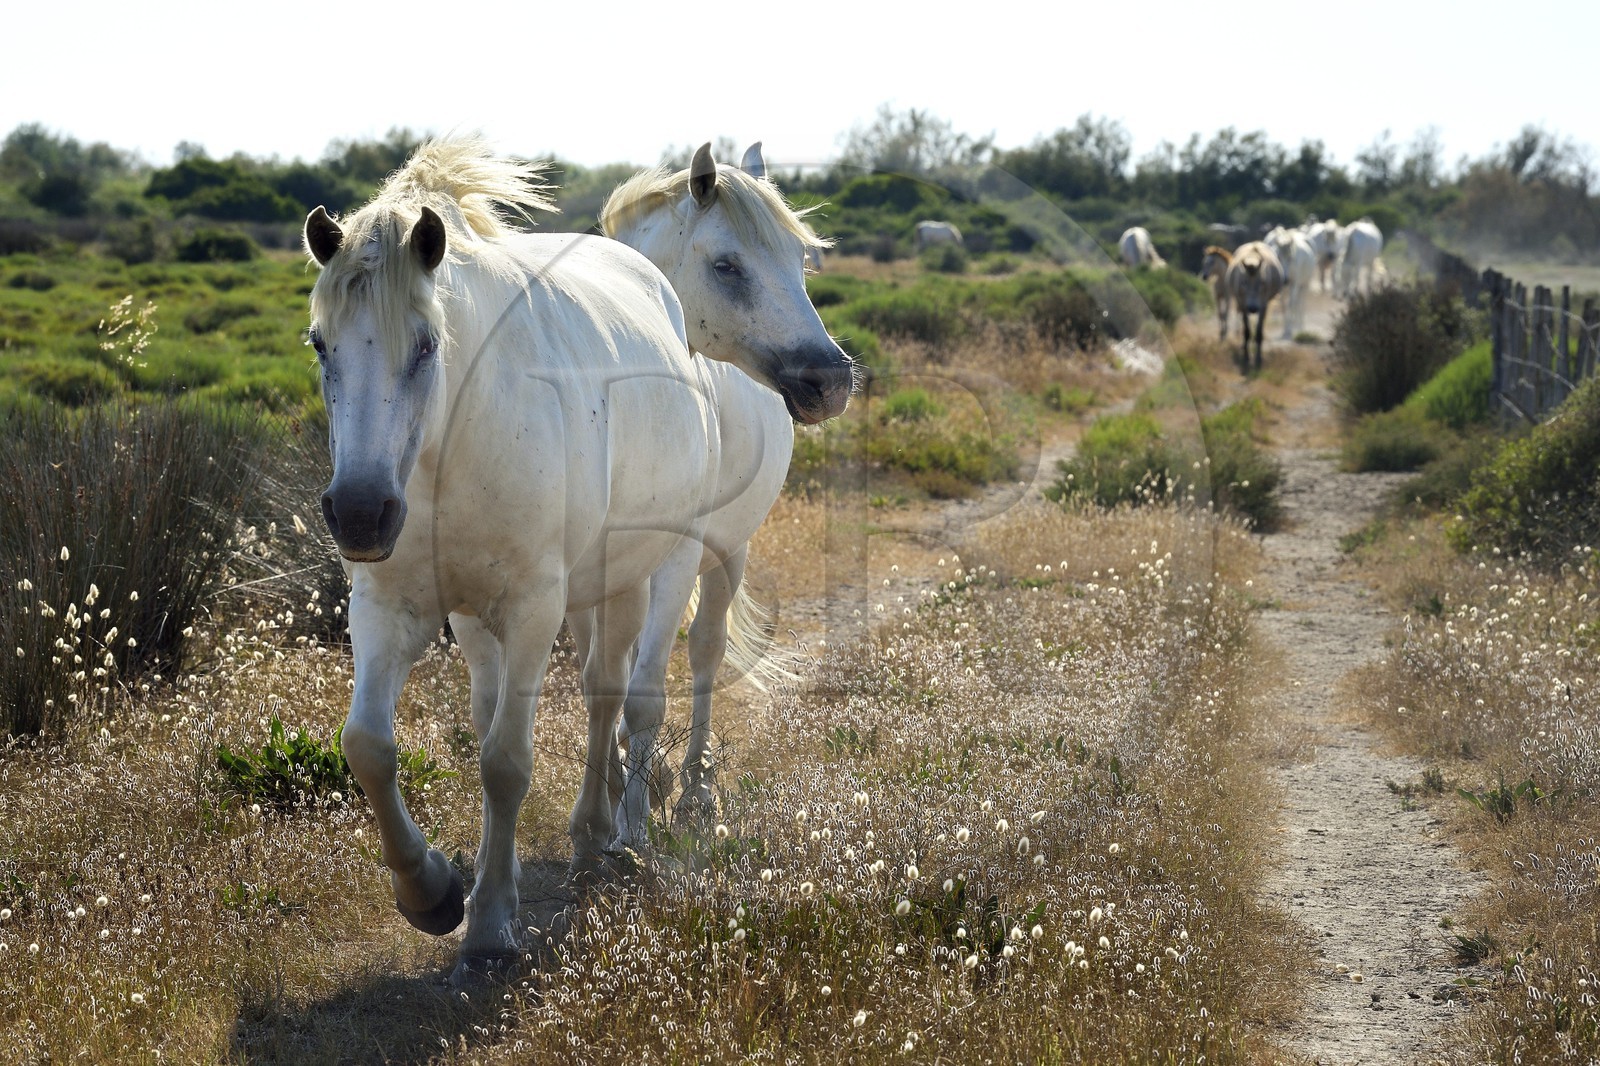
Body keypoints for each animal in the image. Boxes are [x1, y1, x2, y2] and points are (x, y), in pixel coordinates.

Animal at [303, 136, 735, 982]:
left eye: (426, 345)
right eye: (320, 345)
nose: (362, 513)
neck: (451, 442)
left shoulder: (536, 610)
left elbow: (505, 761)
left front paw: (492, 922)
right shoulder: (388, 608)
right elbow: (368, 747)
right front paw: (430, 889)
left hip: (636, 575)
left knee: (610, 695)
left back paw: (603, 832)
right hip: (492, 615)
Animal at [1224, 241, 1284, 371]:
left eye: (1262, 282)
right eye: (1244, 282)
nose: (1252, 308)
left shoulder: (1263, 305)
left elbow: (1258, 334)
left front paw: (1258, 360)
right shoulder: (1242, 304)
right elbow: (1246, 331)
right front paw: (1246, 358)